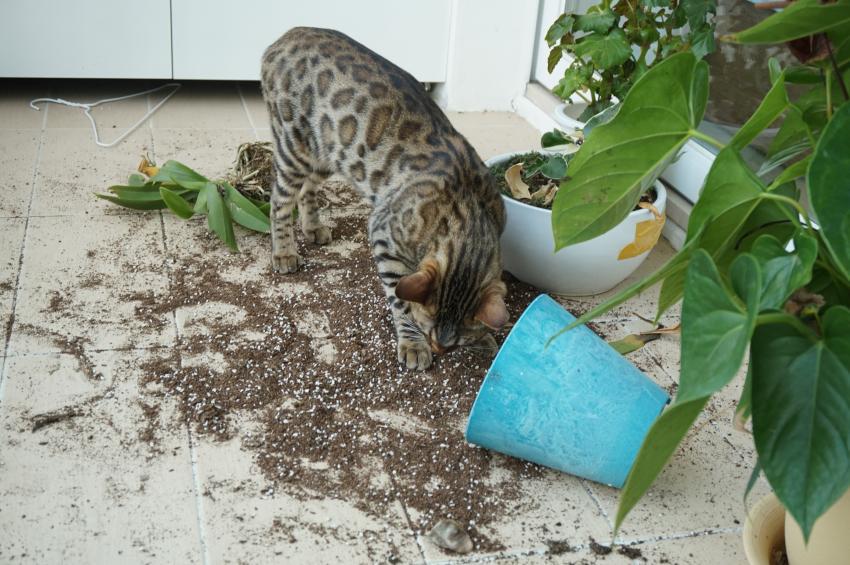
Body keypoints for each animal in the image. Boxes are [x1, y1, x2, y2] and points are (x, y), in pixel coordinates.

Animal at [260, 27, 508, 370]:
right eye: (428, 329)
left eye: (456, 344)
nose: (439, 348)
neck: (470, 207)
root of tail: (288, 34)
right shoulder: (384, 234)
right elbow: (399, 298)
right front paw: (413, 343)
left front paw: (485, 339)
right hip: (294, 148)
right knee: (280, 201)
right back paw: (284, 251)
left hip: (327, 152)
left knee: (307, 188)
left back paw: (312, 227)